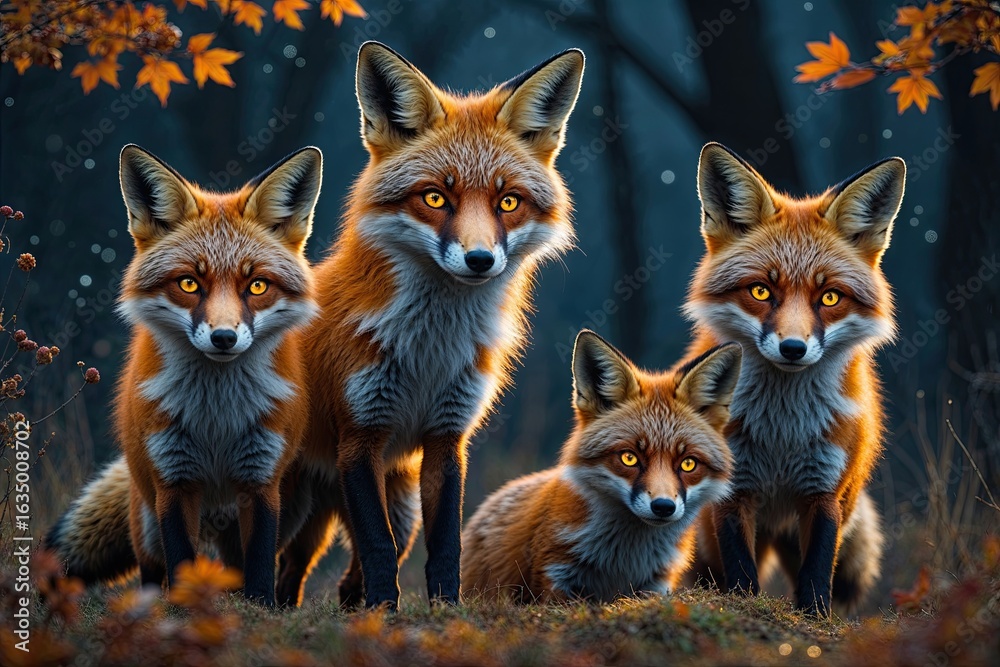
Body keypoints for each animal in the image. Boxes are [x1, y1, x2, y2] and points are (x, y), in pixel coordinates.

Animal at [45, 144, 322, 606]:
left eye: (258, 286)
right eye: (190, 283)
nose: (224, 337)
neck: (218, 420)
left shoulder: (261, 479)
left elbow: (259, 565)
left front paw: (261, 608)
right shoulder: (173, 480)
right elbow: (181, 562)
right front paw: (183, 612)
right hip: (146, 522)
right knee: (153, 569)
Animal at [271, 42, 585, 610]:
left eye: (508, 201)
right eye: (435, 197)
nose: (480, 260)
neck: (430, 351)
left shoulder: (447, 435)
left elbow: (444, 547)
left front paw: (444, 610)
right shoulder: (361, 435)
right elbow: (376, 546)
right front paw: (383, 614)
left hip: (394, 508)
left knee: (315, 575)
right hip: (288, 502)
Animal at [461, 330, 740, 603]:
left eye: (688, 463)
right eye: (629, 458)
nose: (663, 507)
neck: (624, 560)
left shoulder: (657, 584)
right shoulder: (554, 572)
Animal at [682, 142, 903, 616]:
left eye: (830, 297)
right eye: (761, 291)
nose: (793, 349)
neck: (782, 433)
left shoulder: (824, 491)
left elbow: (817, 571)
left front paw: (815, 615)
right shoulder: (734, 491)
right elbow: (741, 572)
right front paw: (742, 605)